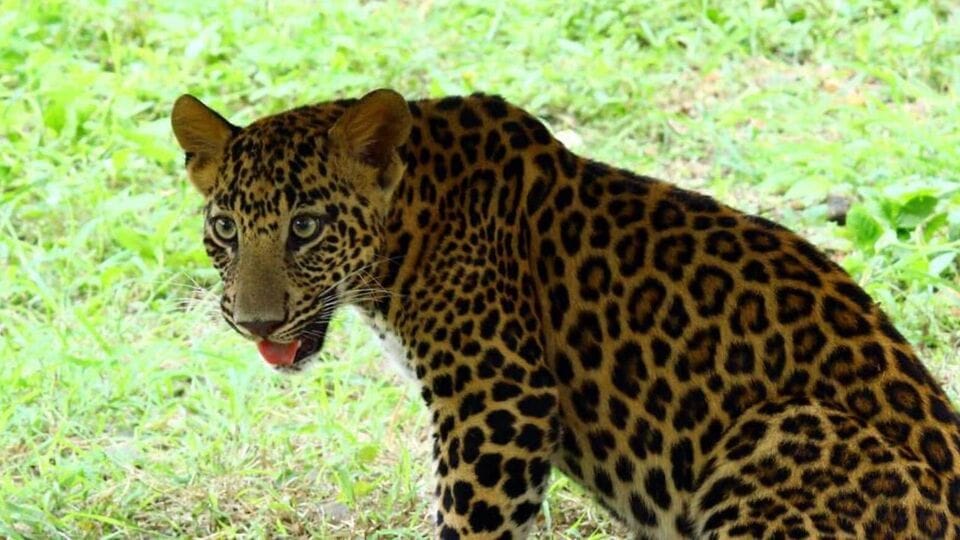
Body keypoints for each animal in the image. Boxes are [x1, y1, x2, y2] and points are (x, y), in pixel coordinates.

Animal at [171, 88, 960, 539]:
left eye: (306, 228)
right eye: (226, 230)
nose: (255, 323)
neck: (413, 217)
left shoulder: (497, 401)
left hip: (785, 427)